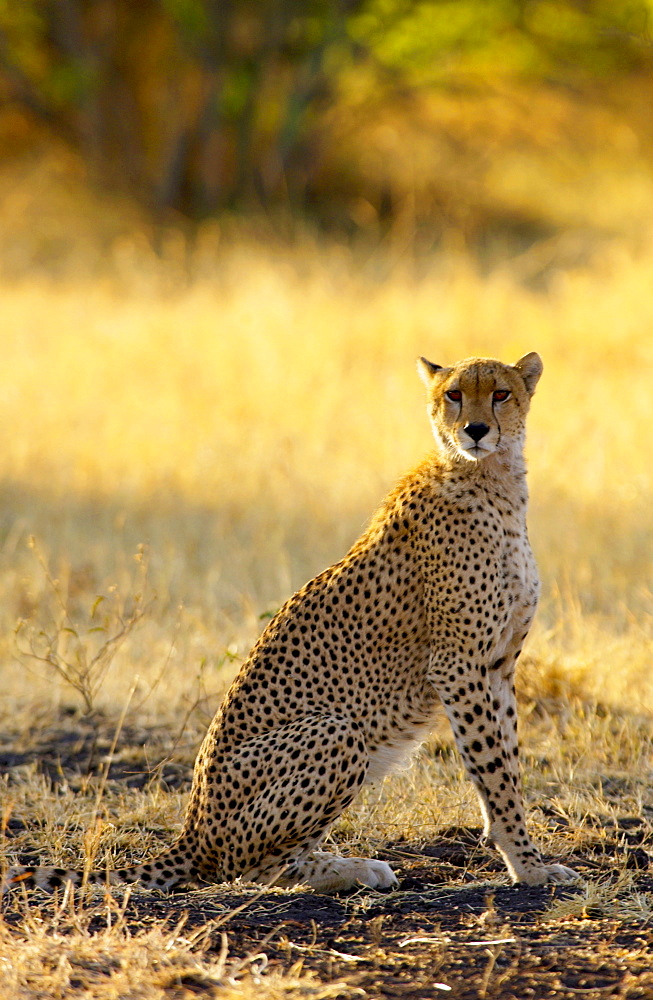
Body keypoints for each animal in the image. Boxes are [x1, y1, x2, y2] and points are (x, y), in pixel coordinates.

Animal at [3, 354, 576, 900]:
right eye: (454, 395)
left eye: (500, 394)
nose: (475, 430)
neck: (492, 478)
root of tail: (190, 832)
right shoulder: (458, 666)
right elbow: (495, 771)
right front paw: (528, 867)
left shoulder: (497, 666)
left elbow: (508, 765)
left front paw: (524, 856)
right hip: (336, 731)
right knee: (248, 868)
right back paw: (353, 870)